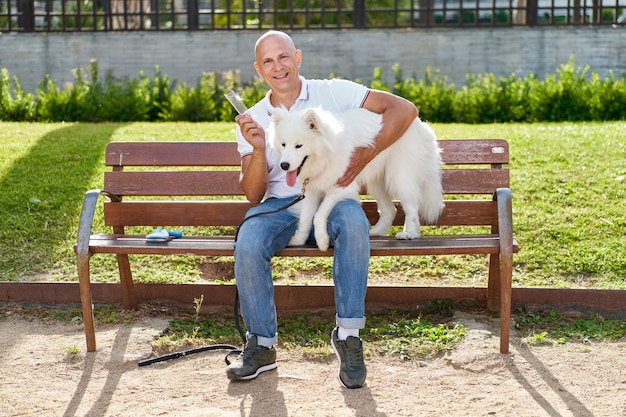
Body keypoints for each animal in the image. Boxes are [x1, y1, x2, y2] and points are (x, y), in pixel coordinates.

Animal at [268, 107, 444, 250]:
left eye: (299, 146)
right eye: (283, 144)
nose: (284, 165)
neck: (327, 152)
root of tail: (421, 125)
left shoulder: (341, 187)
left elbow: (319, 214)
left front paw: (322, 241)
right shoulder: (312, 190)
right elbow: (305, 218)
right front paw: (298, 240)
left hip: (400, 178)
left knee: (411, 209)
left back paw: (409, 234)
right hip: (377, 183)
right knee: (390, 210)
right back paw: (376, 232)